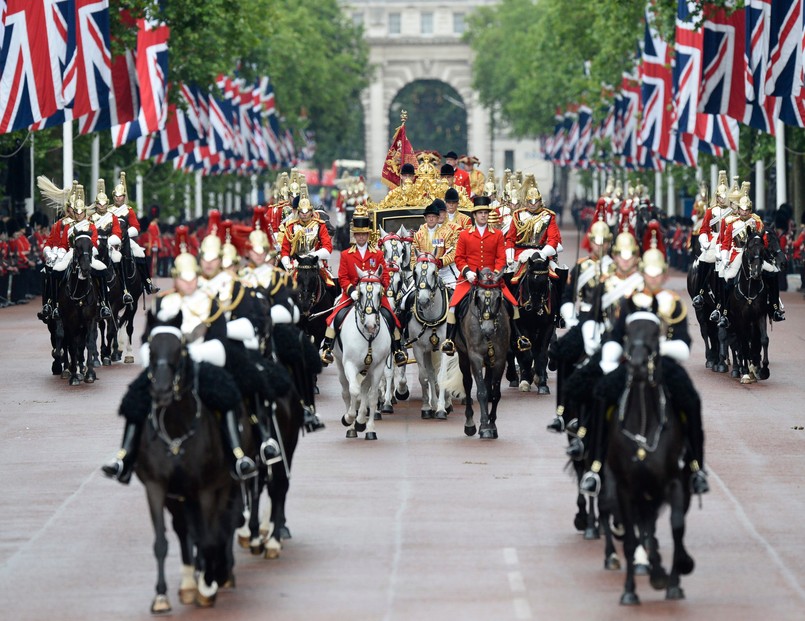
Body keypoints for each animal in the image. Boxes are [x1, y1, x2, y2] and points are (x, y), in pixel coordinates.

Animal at [56, 235, 96, 386]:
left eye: (91, 246)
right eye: (77, 247)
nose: (85, 269)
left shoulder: (90, 320)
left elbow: (89, 343)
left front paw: (89, 373)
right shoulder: (70, 323)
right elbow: (72, 347)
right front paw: (73, 376)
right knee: (67, 343)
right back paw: (68, 370)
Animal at [334, 268, 392, 438]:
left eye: (380, 293)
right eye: (360, 293)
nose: (371, 325)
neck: (368, 337)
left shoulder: (378, 367)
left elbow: (372, 396)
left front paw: (369, 427)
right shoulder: (350, 364)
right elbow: (353, 390)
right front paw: (349, 418)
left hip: (368, 369)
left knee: (365, 389)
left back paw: (360, 421)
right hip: (340, 364)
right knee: (347, 390)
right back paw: (352, 426)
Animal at [406, 253, 450, 422]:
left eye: (434, 272)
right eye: (415, 272)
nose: (423, 301)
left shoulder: (445, 346)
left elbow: (442, 375)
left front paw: (441, 409)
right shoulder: (419, 348)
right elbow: (423, 376)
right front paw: (426, 407)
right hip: (427, 350)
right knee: (430, 373)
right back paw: (433, 403)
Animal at [604, 312, 692, 604]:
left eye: (656, 334)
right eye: (628, 332)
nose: (638, 366)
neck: (643, 421)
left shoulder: (672, 483)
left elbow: (674, 526)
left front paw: (671, 579)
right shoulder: (625, 487)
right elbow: (633, 536)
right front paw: (630, 591)